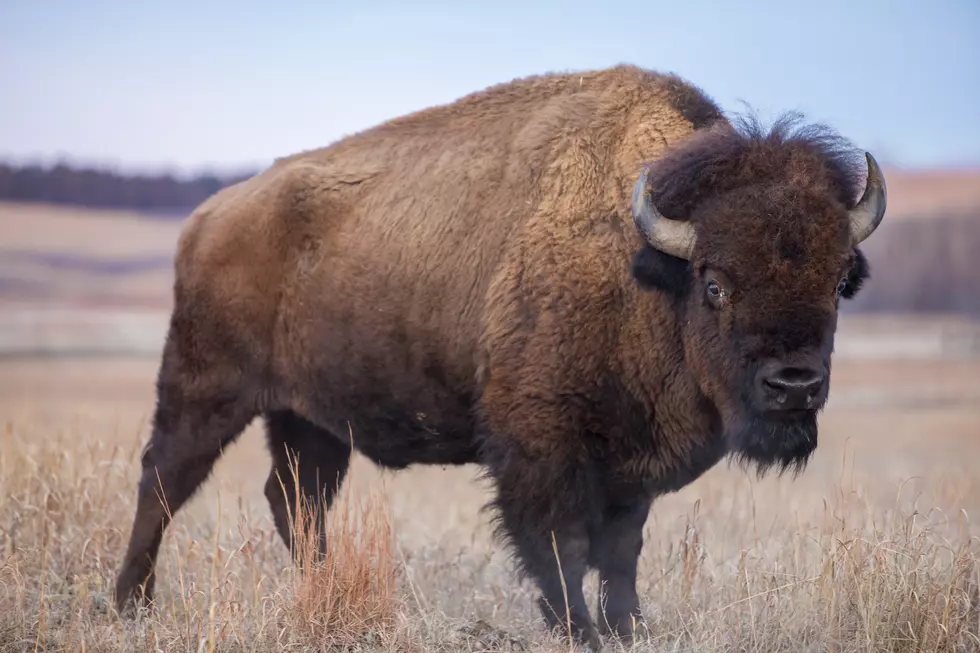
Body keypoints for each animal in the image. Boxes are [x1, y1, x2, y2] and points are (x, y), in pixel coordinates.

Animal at [114, 64, 886, 649]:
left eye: (836, 281)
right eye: (716, 282)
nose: (794, 384)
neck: (642, 267)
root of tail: (209, 217)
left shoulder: (627, 463)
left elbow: (622, 551)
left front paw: (630, 628)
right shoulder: (539, 448)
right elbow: (560, 547)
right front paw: (580, 631)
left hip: (308, 420)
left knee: (296, 500)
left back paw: (321, 591)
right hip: (206, 387)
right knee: (164, 480)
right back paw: (129, 604)